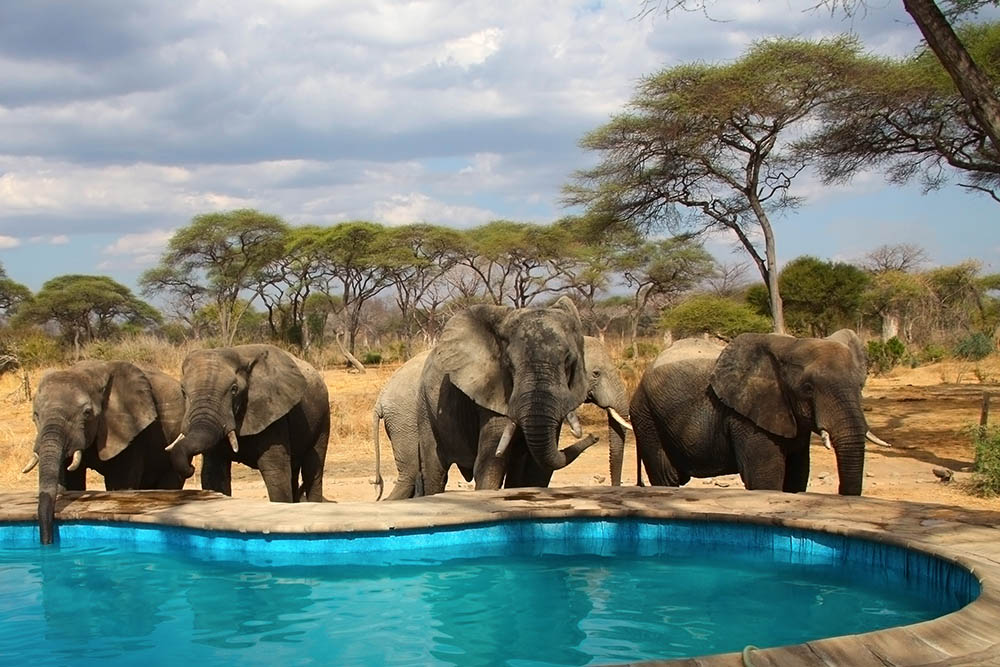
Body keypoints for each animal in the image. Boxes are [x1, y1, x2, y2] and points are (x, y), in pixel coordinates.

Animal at [24, 362, 186, 544]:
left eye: (87, 413)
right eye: (35, 415)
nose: (47, 542)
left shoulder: (131, 429)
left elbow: (120, 483)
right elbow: (71, 480)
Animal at [166, 344, 330, 500]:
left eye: (234, 389)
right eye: (183, 391)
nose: (191, 467)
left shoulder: (274, 415)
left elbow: (276, 473)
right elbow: (214, 475)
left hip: (322, 416)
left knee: (312, 469)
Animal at [416, 298, 600, 496]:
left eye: (568, 361)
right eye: (509, 364)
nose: (594, 436)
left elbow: (534, 468)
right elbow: (491, 462)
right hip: (426, 408)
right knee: (435, 470)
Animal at [632, 330, 892, 496]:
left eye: (861, 385)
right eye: (807, 388)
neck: (790, 346)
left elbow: (796, 477)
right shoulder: (746, 417)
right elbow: (765, 480)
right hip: (647, 416)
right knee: (667, 478)